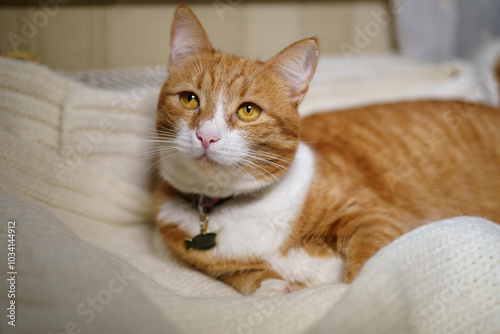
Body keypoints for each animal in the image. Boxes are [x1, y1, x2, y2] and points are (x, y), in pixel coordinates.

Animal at [154, 3, 500, 294]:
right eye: (189, 99)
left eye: (248, 110)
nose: (206, 136)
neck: (237, 206)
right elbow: (245, 276)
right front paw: (272, 286)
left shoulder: (372, 214)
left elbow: (371, 258)